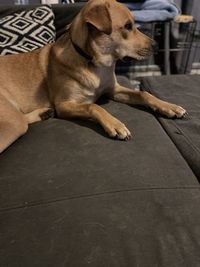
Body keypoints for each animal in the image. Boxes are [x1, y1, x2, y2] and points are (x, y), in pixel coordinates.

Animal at [0, 0, 186, 154]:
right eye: (127, 26)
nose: (156, 45)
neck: (95, 63)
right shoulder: (64, 105)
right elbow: (93, 106)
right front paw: (115, 124)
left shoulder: (113, 90)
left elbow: (143, 93)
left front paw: (169, 107)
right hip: (13, 121)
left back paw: (44, 113)